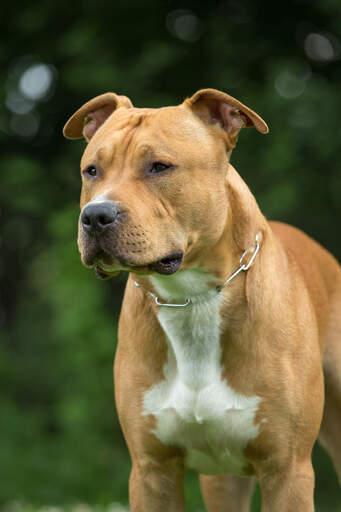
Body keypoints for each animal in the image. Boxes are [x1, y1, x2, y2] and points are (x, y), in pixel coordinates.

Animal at [62, 90, 338, 510]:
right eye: (92, 170)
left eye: (159, 167)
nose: (95, 216)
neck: (191, 298)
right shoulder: (152, 472)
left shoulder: (287, 470)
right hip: (223, 480)